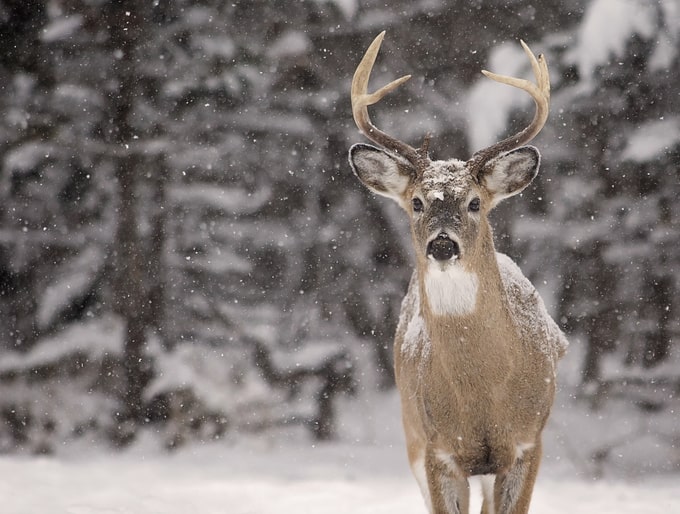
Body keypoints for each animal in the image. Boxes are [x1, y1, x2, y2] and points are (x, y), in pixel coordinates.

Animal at [348, 32, 568, 514]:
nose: (443, 244)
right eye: (416, 202)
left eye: (474, 202)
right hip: (411, 435)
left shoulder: (528, 443)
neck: (483, 395)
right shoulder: (437, 450)